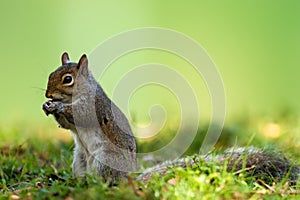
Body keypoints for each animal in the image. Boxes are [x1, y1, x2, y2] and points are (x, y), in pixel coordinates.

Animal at [41, 52, 298, 184]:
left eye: (67, 79)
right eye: (50, 74)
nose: (47, 95)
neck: (80, 92)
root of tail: (129, 179)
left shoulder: (94, 106)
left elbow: (80, 115)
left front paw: (57, 106)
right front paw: (48, 106)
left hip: (105, 159)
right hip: (79, 159)